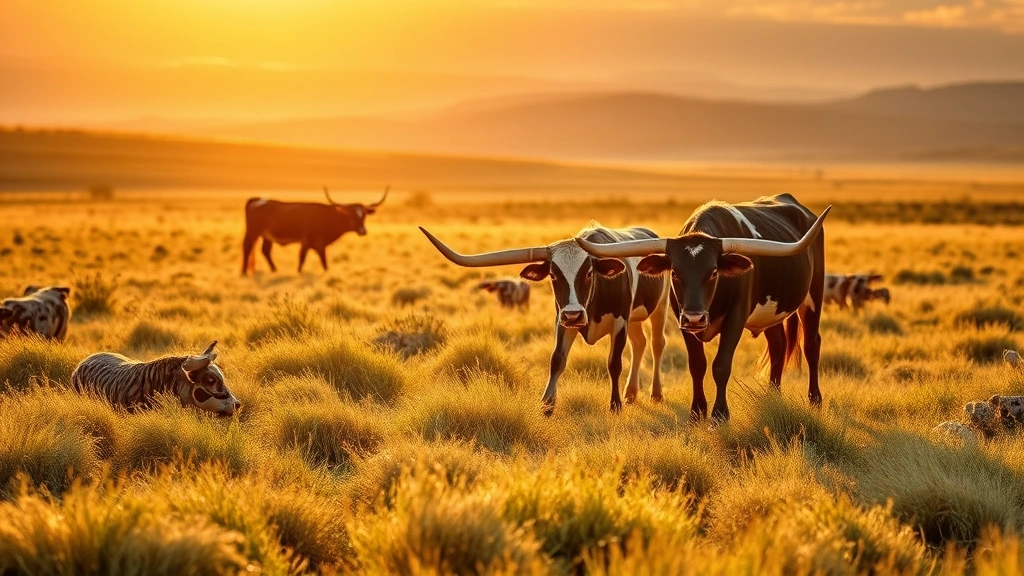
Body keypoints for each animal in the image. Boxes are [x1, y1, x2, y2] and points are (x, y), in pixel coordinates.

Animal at [242, 186, 389, 275]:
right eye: (351, 215)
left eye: (363, 215)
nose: (363, 231)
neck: (328, 216)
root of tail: (257, 199)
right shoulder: (308, 242)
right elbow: (304, 259)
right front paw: (299, 273)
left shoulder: (319, 244)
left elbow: (323, 262)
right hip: (253, 232)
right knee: (247, 247)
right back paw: (243, 273)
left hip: (266, 235)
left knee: (265, 251)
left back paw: (274, 271)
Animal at [420, 224, 670, 415]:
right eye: (553, 274)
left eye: (589, 273)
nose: (574, 314)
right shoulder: (562, 321)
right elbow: (557, 360)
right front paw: (547, 405)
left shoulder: (620, 322)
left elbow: (614, 363)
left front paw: (615, 405)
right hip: (635, 318)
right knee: (639, 343)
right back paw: (631, 392)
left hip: (660, 306)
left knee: (657, 344)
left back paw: (656, 393)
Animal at [576, 194, 830, 421]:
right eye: (675, 273)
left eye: (714, 272)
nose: (696, 318)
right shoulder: (683, 321)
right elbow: (697, 365)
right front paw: (697, 412)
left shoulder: (735, 318)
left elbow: (721, 365)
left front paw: (719, 415)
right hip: (769, 314)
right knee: (778, 345)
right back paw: (772, 396)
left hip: (813, 296)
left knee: (811, 345)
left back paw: (815, 399)